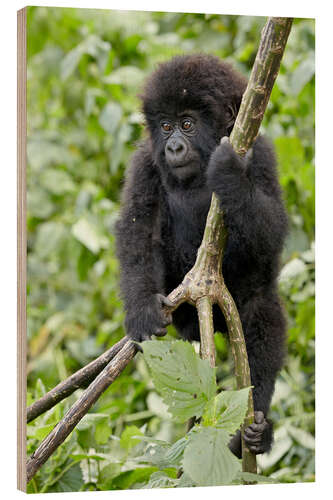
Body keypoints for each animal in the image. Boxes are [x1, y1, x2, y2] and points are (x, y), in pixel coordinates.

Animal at [115, 53, 286, 458]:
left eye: (188, 124)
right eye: (165, 126)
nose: (174, 148)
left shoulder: (262, 153)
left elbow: (273, 230)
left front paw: (230, 174)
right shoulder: (145, 161)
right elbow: (137, 230)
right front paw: (142, 309)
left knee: (262, 313)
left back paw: (254, 432)